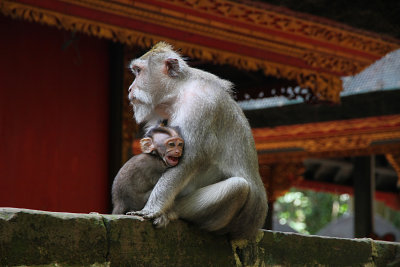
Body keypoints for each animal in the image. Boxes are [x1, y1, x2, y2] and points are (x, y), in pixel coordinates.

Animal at [128, 42, 268, 241]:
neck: (178, 92)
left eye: (138, 71)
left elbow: (186, 161)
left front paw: (152, 209)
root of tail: (250, 229)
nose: (130, 89)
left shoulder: (198, 106)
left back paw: (171, 211)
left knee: (238, 187)